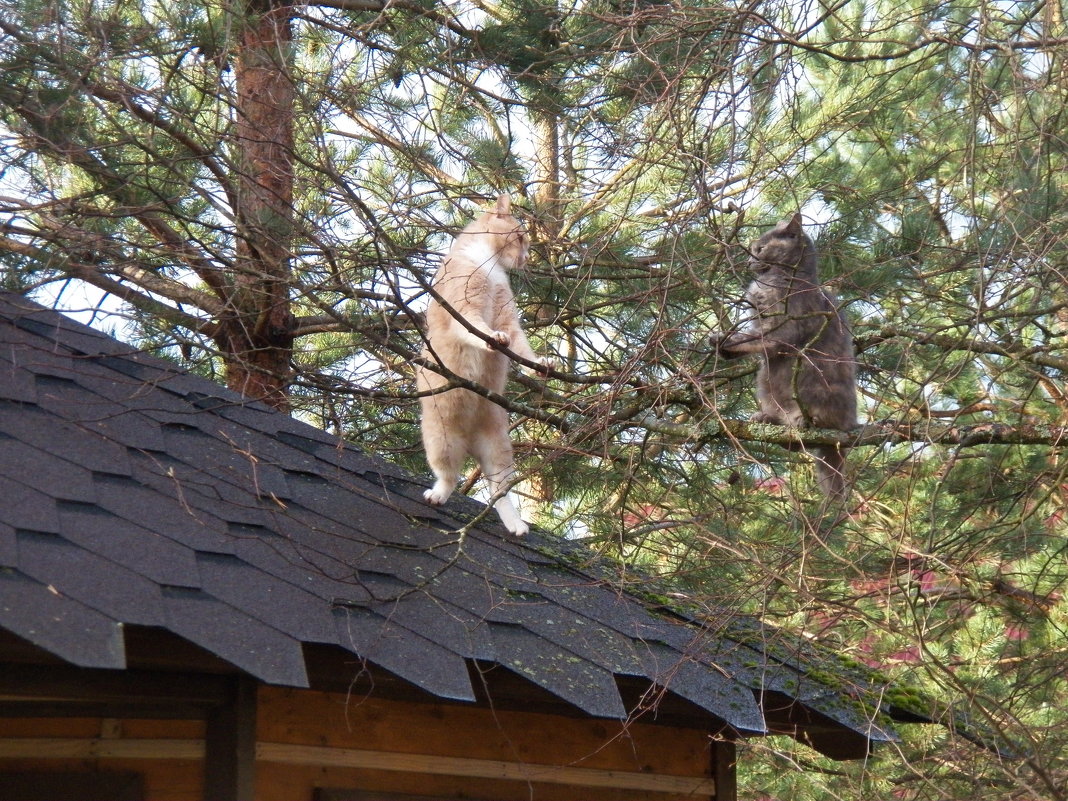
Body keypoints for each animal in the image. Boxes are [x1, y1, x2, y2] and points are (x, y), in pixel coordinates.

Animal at [416, 193, 551, 540]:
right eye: (521, 237)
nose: (527, 258)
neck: (489, 264)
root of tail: (471, 441)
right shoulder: (464, 307)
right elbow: (476, 328)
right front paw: (491, 338)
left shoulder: (508, 317)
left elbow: (522, 347)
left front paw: (538, 364)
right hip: (440, 439)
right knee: (450, 477)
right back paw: (437, 495)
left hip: (499, 449)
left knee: (499, 493)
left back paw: (516, 525)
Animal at [709, 213, 858, 501]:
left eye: (760, 248)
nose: (749, 261)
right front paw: (724, 347)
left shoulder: (784, 324)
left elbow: (759, 339)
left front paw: (727, 341)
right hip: (765, 378)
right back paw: (768, 419)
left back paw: (806, 420)